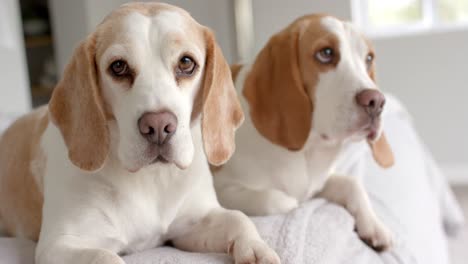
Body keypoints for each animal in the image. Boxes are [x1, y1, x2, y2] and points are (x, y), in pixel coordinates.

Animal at [0, 2, 278, 264]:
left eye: (186, 62)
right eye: (118, 67)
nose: (158, 126)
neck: (150, 179)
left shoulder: (190, 225)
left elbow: (239, 218)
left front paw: (258, 249)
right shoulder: (59, 244)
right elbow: (105, 256)